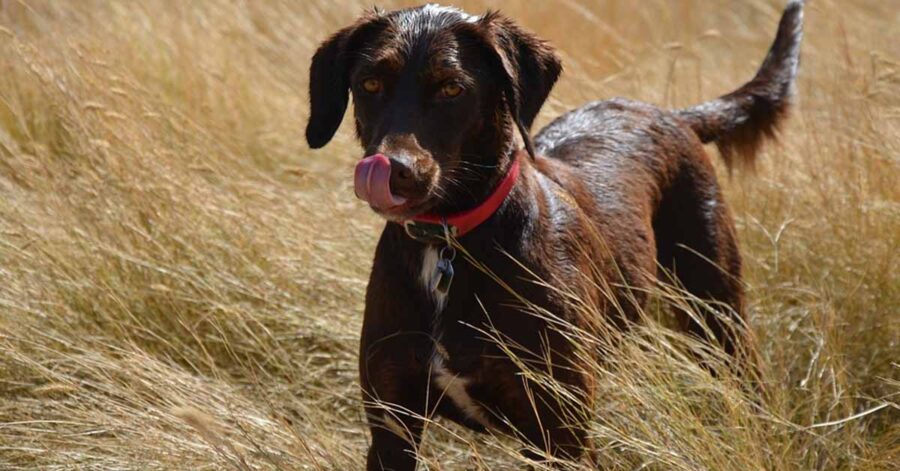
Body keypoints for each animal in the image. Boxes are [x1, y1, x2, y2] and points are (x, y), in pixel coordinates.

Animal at [308, 2, 800, 468]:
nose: (394, 171)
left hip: (718, 309)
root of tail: (669, 115)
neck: (447, 241)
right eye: (370, 84)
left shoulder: (560, 434)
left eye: (452, 88)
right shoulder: (392, 428)